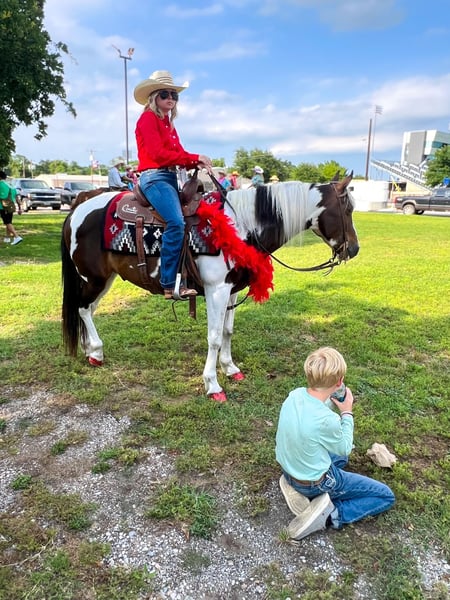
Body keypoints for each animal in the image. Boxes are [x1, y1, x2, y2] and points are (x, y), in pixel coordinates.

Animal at [61, 173, 359, 402]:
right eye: (347, 209)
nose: (354, 250)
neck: (242, 226)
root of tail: (77, 208)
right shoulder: (217, 290)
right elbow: (214, 337)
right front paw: (213, 384)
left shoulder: (233, 289)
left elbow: (227, 331)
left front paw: (230, 369)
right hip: (94, 278)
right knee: (83, 309)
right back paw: (97, 351)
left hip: (103, 279)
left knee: (87, 310)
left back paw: (89, 351)